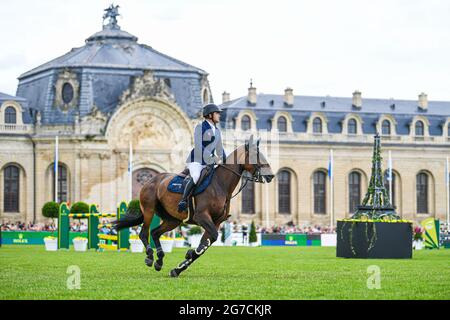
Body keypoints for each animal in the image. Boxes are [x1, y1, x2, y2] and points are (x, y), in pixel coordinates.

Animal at [112, 134, 274, 276]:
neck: (220, 184)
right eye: (256, 155)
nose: (271, 175)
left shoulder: (216, 222)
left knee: (155, 232)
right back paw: (150, 257)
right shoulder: (202, 216)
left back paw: (159, 260)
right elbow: (209, 240)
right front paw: (188, 255)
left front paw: (180, 266)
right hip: (149, 210)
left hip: (172, 219)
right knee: (144, 233)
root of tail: (151, 180)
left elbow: (206, 243)